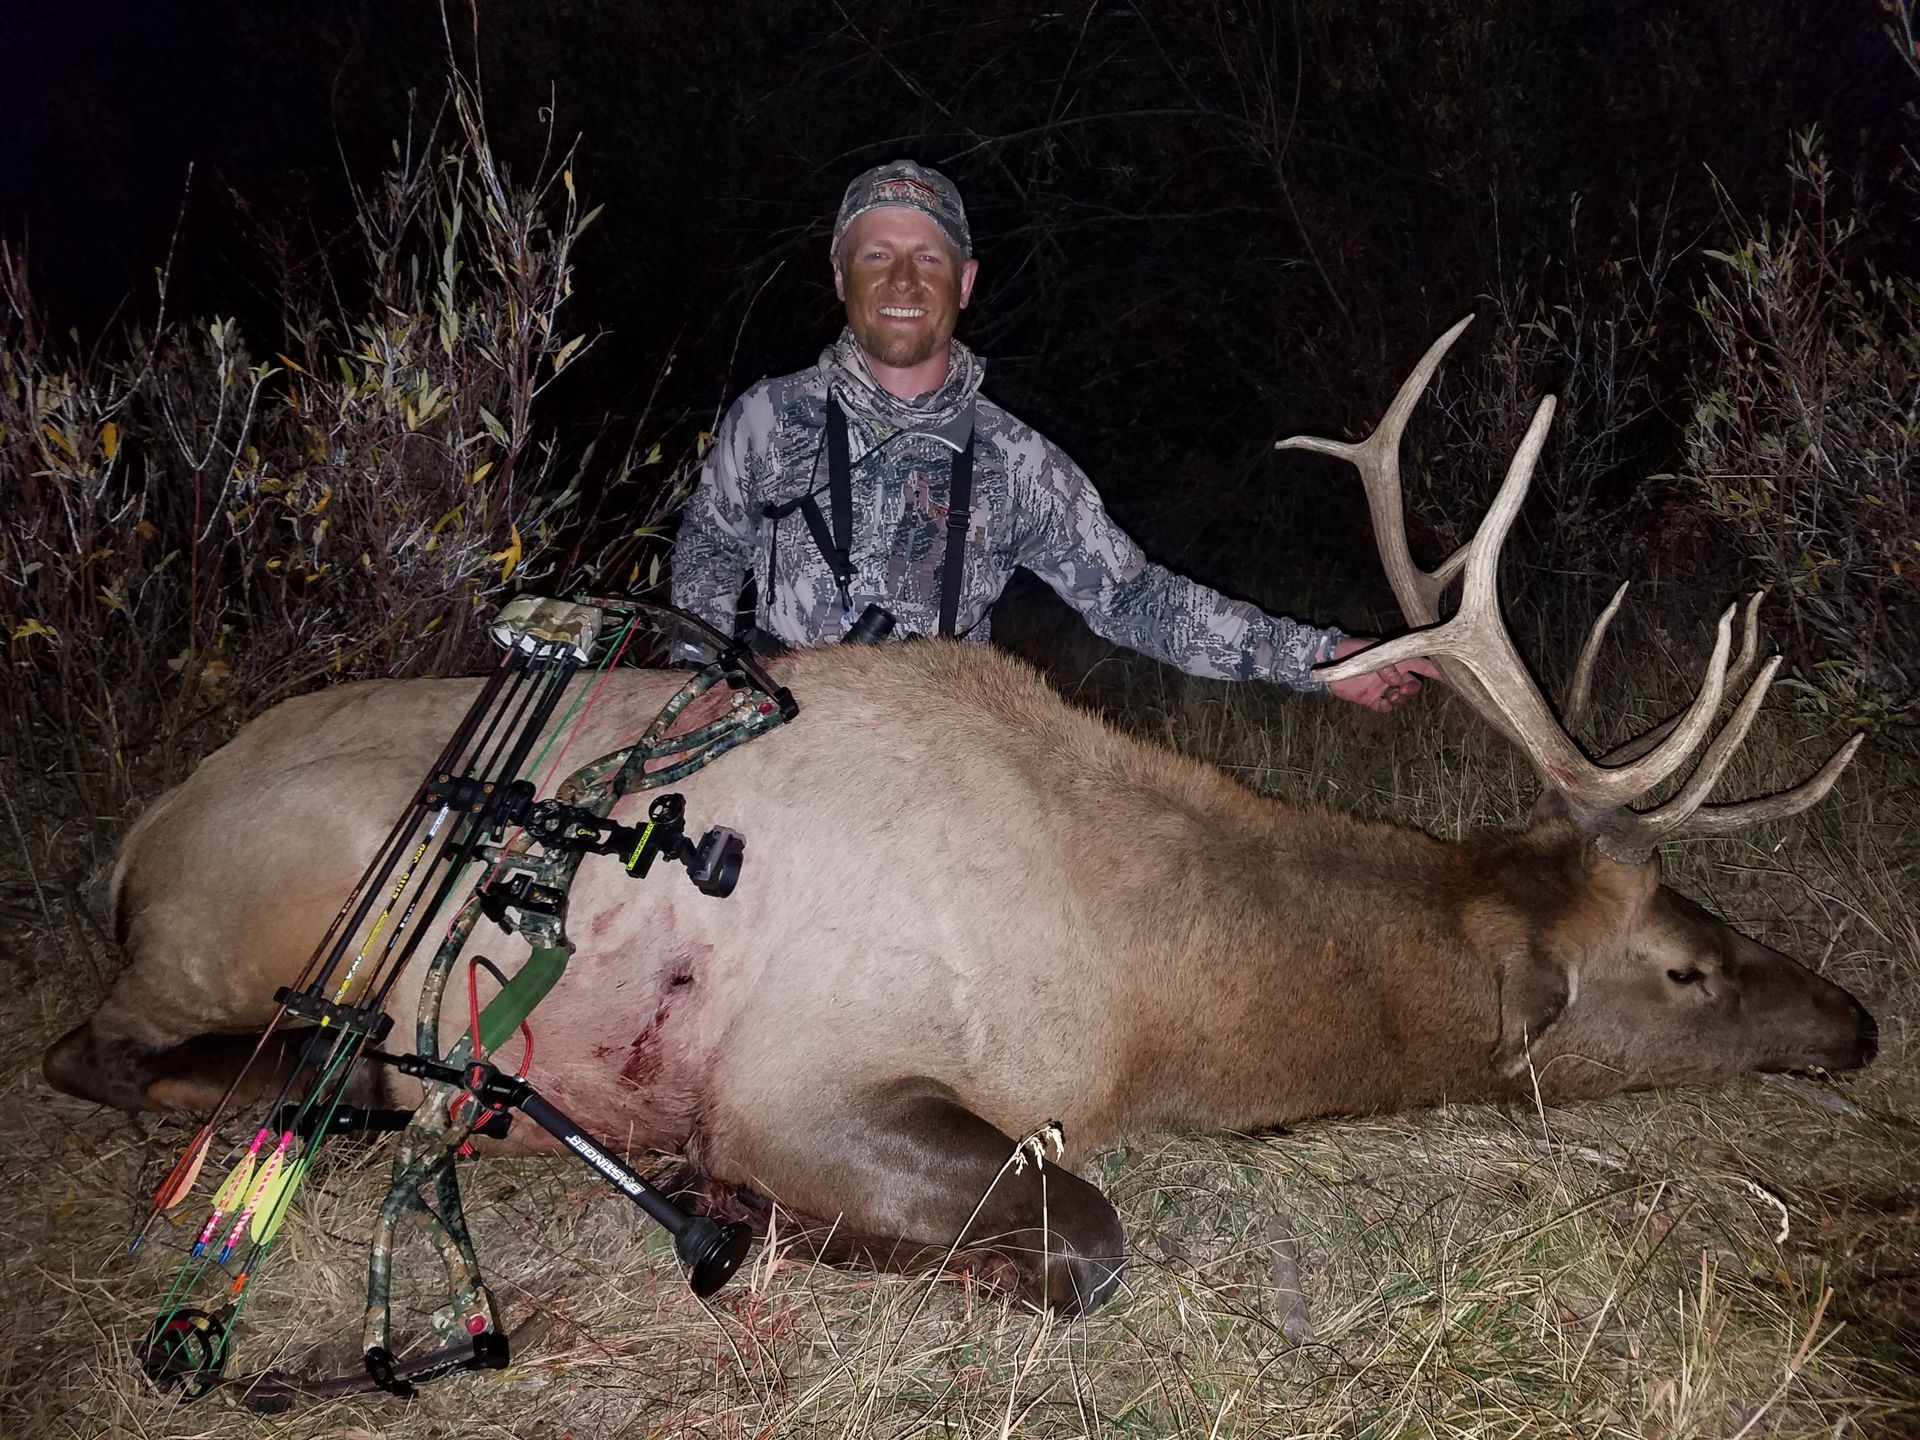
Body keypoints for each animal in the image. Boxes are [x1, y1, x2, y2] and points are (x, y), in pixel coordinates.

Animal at [43, 320, 1874, 1315]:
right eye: (1680, 966)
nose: (1858, 1021)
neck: (1154, 995)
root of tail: (133, 836)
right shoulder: (803, 1065)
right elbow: (1085, 1233)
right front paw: (748, 1216)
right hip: (269, 894)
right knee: (98, 1049)